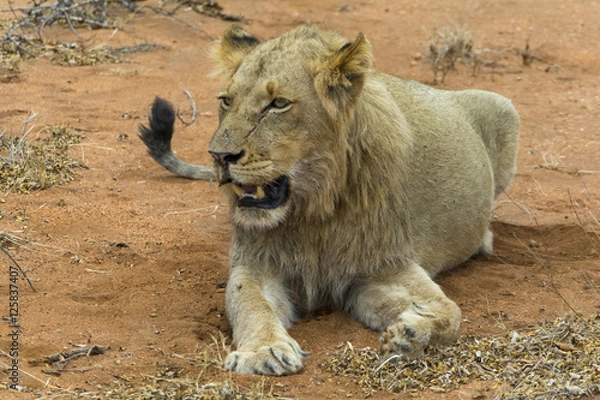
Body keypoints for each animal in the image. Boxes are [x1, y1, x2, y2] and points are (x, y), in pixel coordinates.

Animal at [138, 24, 516, 376]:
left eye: (278, 104)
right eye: (226, 101)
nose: (218, 156)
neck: (313, 209)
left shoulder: (382, 266)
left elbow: (451, 313)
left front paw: (409, 335)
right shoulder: (258, 263)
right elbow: (248, 302)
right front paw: (263, 351)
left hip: (506, 109)